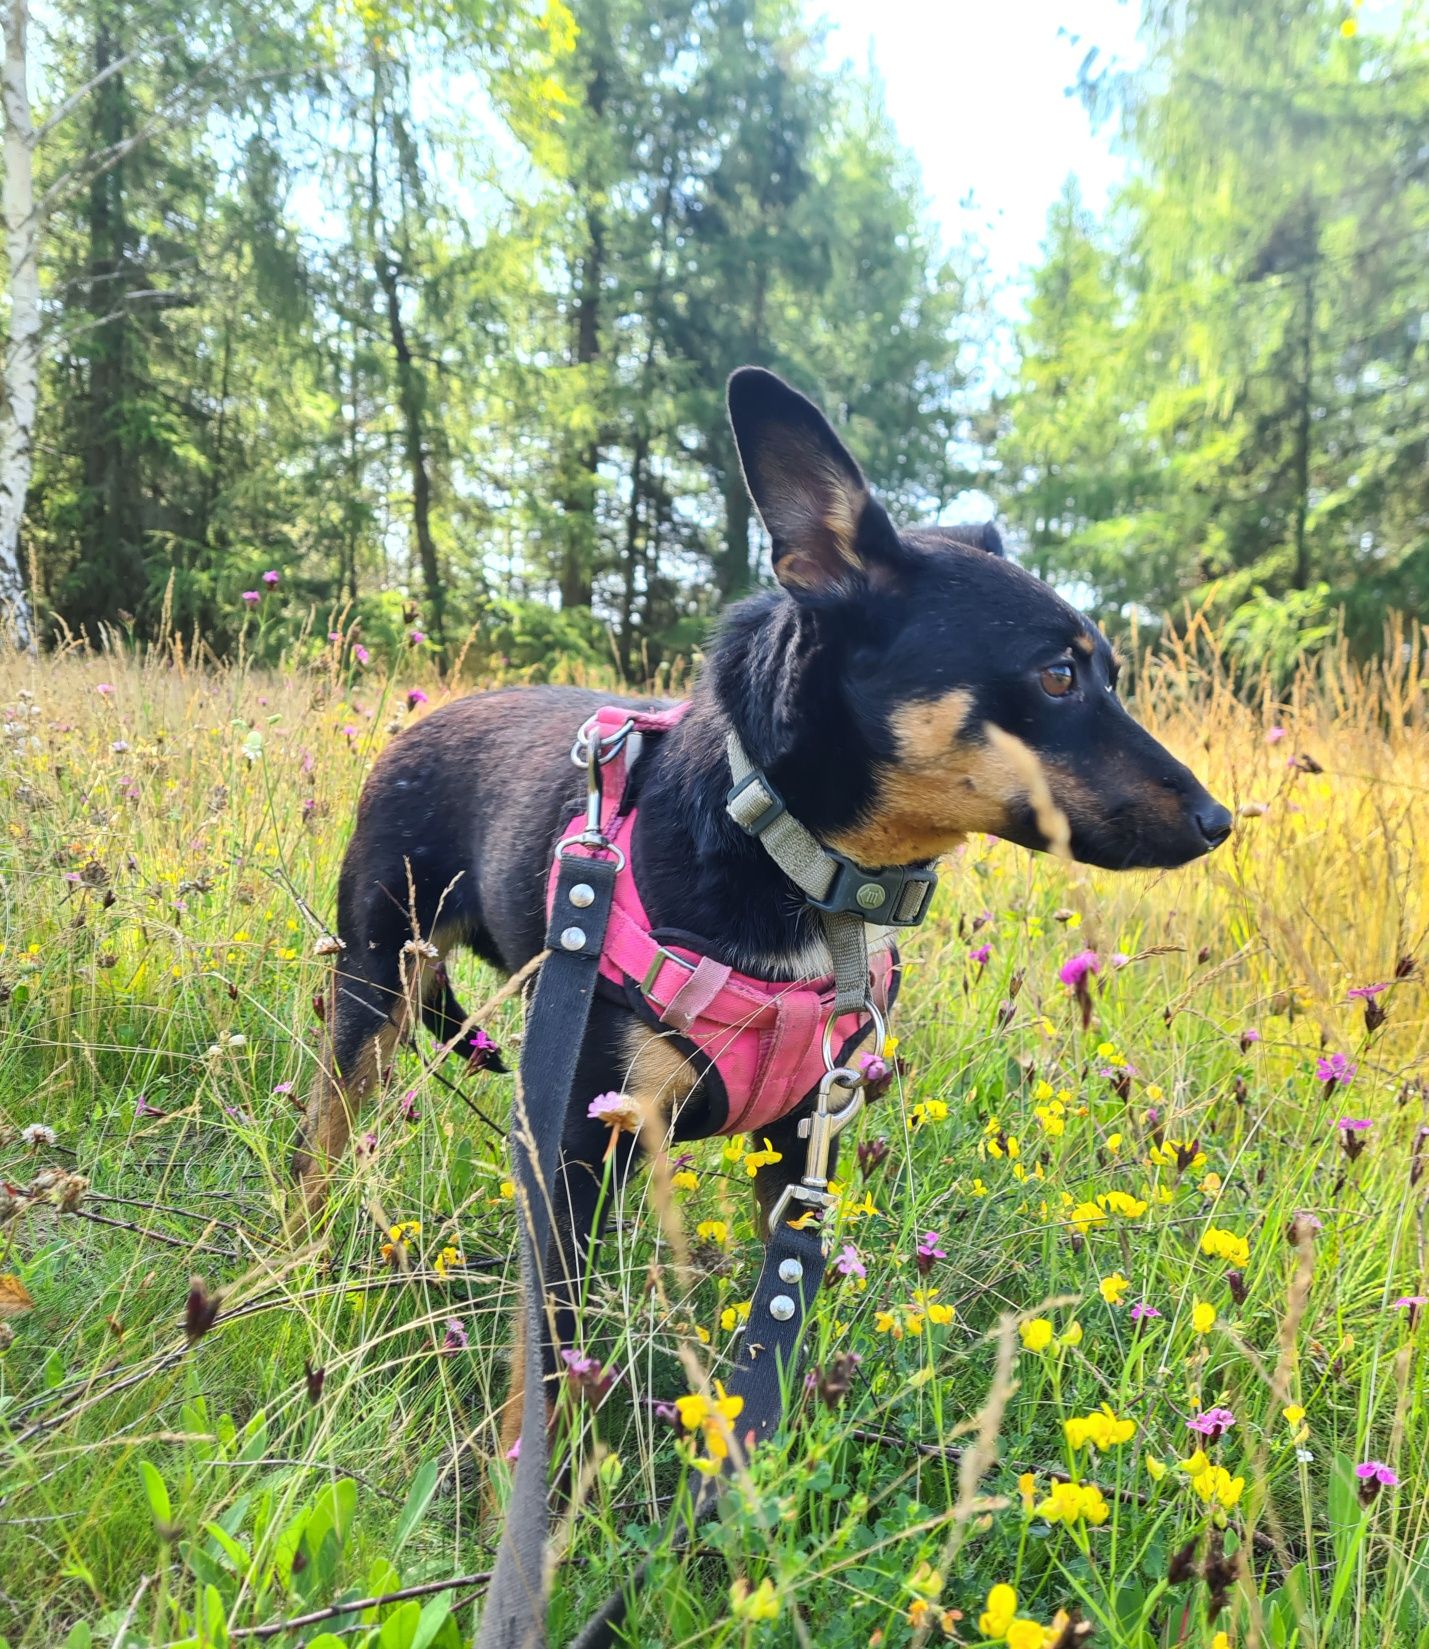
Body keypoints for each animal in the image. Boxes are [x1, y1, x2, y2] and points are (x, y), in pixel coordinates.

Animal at [296, 364, 1232, 1457]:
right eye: (1057, 671)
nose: (1216, 819)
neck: (799, 866)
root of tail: (417, 725)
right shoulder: (573, 1144)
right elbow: (547, 1351)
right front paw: (528, 1467)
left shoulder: (795, 1138)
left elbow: (775, 1305)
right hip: (375, 982)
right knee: (320, 1135)